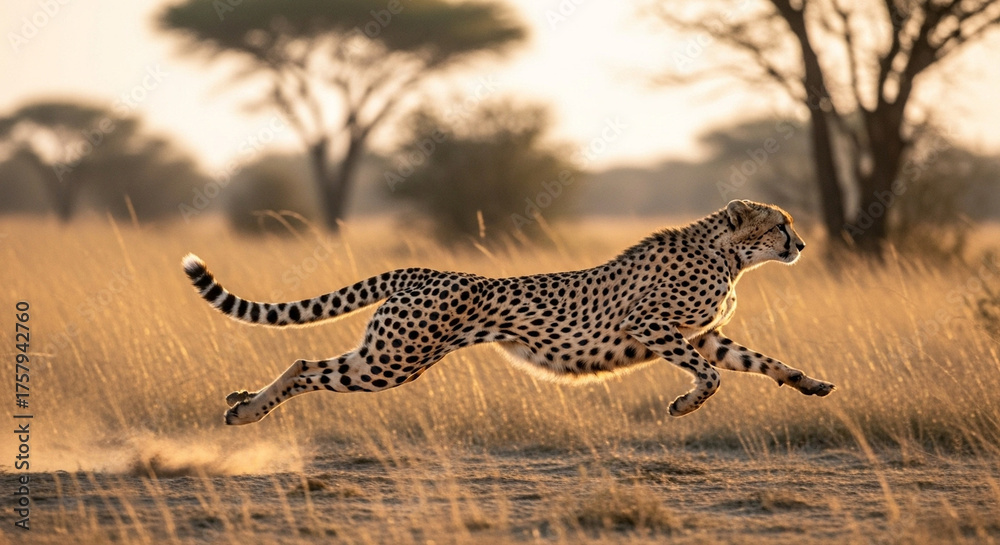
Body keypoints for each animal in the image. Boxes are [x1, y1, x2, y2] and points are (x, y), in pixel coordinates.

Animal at [182, 199, 834, 425]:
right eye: (780, 225)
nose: (802, 245)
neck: (730, 256)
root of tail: (422, 270)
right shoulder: (650, 325)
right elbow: (713, 375)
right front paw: (684, 404)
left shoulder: (705, 333)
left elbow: (755, 360)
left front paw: (809, 382)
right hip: (393, 360)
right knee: (305, 366)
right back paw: (247, 412)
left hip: (385, 352)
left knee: (307, 362)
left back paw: (243, 402)